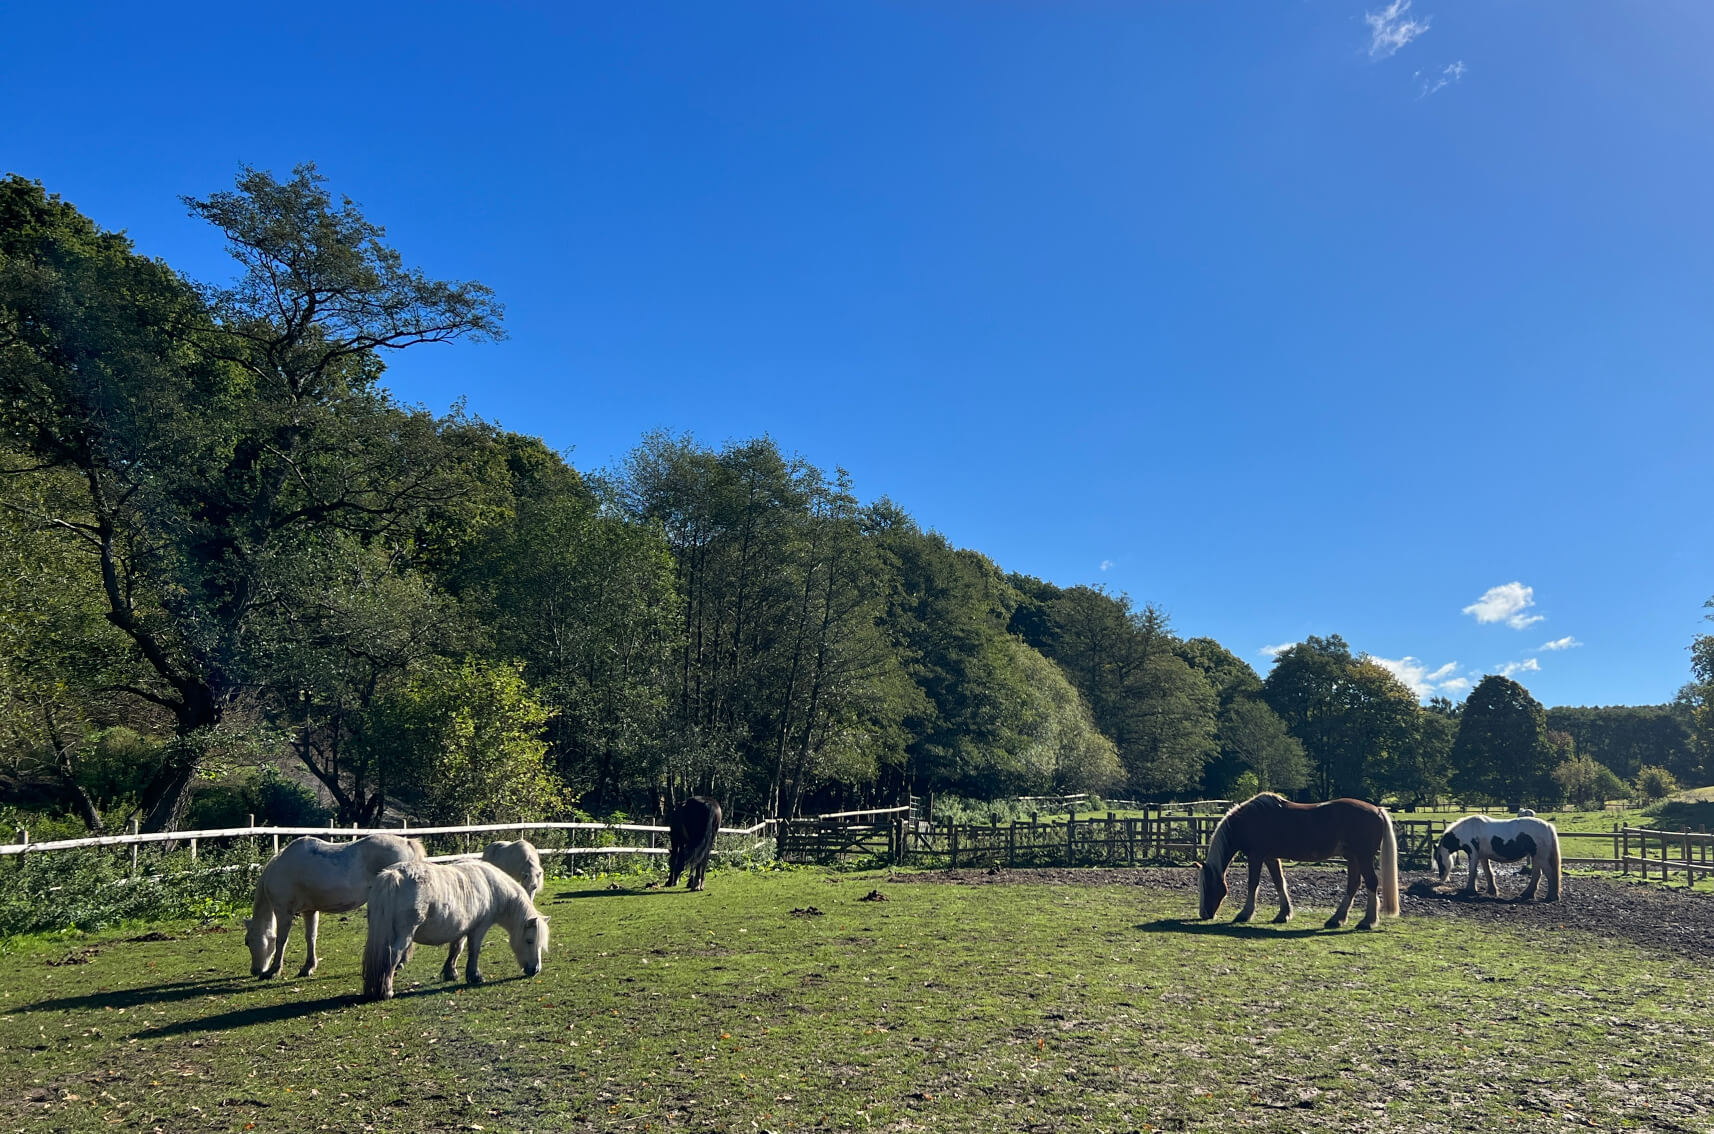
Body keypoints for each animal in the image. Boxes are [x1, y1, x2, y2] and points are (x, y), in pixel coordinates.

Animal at [244, 833, 425, 979]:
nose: (255, 971)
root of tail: (407, 842)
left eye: (248, 942)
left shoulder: (284, 911)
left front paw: (273, 971)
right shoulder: (309, 911)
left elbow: (281, 940)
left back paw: (400, 962)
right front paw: (308, 967)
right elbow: (310, 937)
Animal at [362, 859, 550, 1001]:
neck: (490, 886)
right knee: (393, 955)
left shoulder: (462, 928)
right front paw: (475, 976)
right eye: (529, 940)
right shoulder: (479, 928)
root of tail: (393, 875)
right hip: (405, 934)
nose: (535, 970)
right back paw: (386, 991)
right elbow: (474, 951)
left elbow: (456, 949)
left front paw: (451, 973)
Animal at [1198, 793, 1401, 930]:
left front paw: (1244, 914)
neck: (1249, 820)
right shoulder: (1270, 857)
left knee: (1371, 883)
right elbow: (1279, 882)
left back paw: (1367, 921)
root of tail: (1378, 810)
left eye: (1208, 886)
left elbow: (1253, 883)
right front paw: (1283, 914)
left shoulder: (1256, 856)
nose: (1203, 914)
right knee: (1353, 884)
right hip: (1353, 858)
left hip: (1363, 857)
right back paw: (1337, 919)